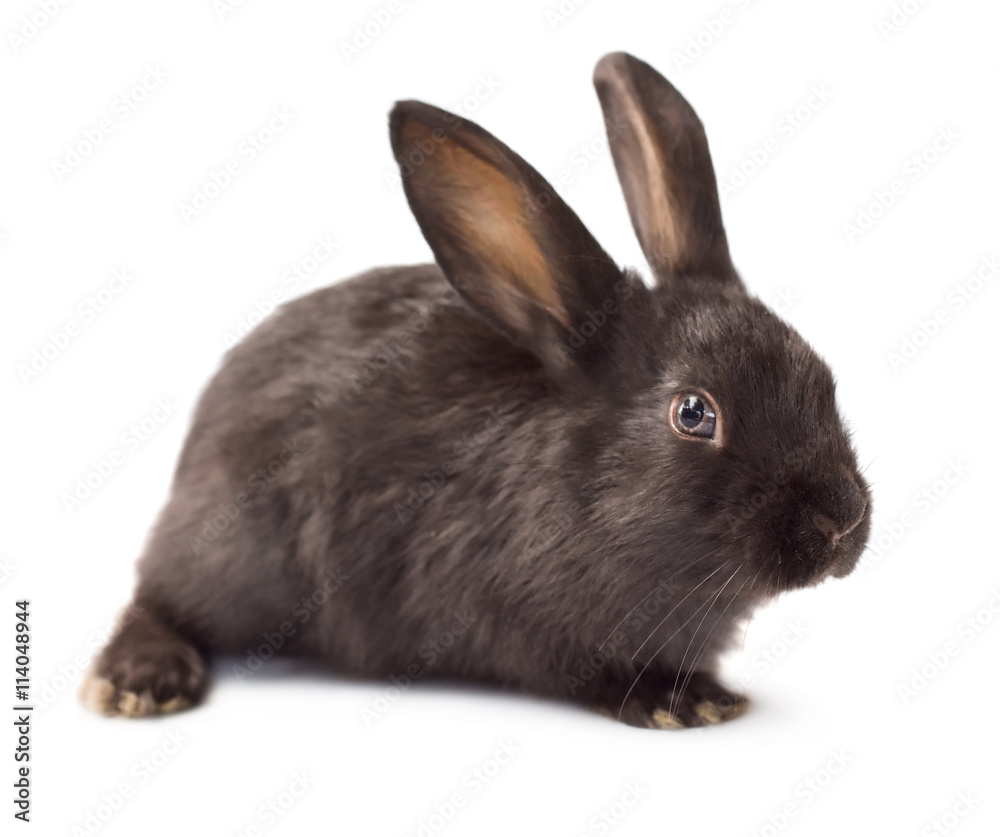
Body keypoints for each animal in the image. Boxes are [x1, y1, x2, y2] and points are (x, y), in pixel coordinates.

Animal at [82, 52, 871, 729]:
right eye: (694, 413)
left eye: (820, 375)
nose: (841, 522)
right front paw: (678, 702)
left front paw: (709, 695)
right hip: (232, 554)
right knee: (157, 596)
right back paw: (138, 680)